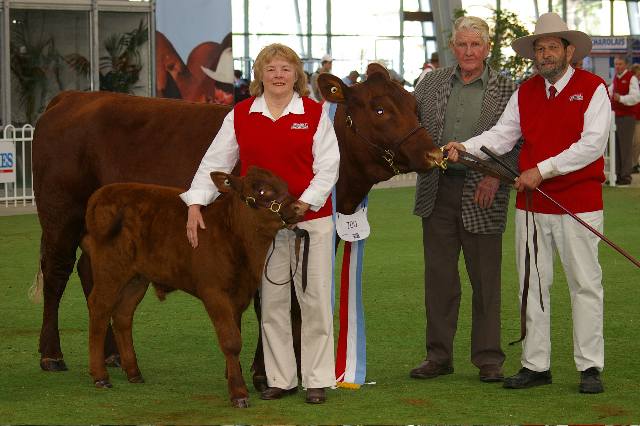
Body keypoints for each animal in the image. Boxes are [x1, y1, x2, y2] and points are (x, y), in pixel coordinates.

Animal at [32, 61, 442, 378]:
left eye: (414, 105)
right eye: (379, 109)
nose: (433, 153)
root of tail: (74, 96)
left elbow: (296, 302)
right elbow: (269, 303)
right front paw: (265, 369)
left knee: (91, 274)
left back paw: (111, 354)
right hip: (60, 213)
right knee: (57, 273)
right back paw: (52, 355)